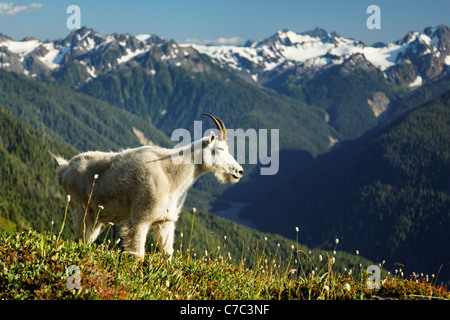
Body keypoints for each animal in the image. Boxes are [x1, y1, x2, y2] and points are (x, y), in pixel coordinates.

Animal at [52, 114, 243, 258]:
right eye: (220, 149)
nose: (239, 171)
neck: (170, 174)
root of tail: (64, 170)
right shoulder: (140, 220)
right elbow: (138, 254)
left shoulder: (165, 222)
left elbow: (167, 254)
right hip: (81, 209)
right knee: (80, 237)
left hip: (97, 216)